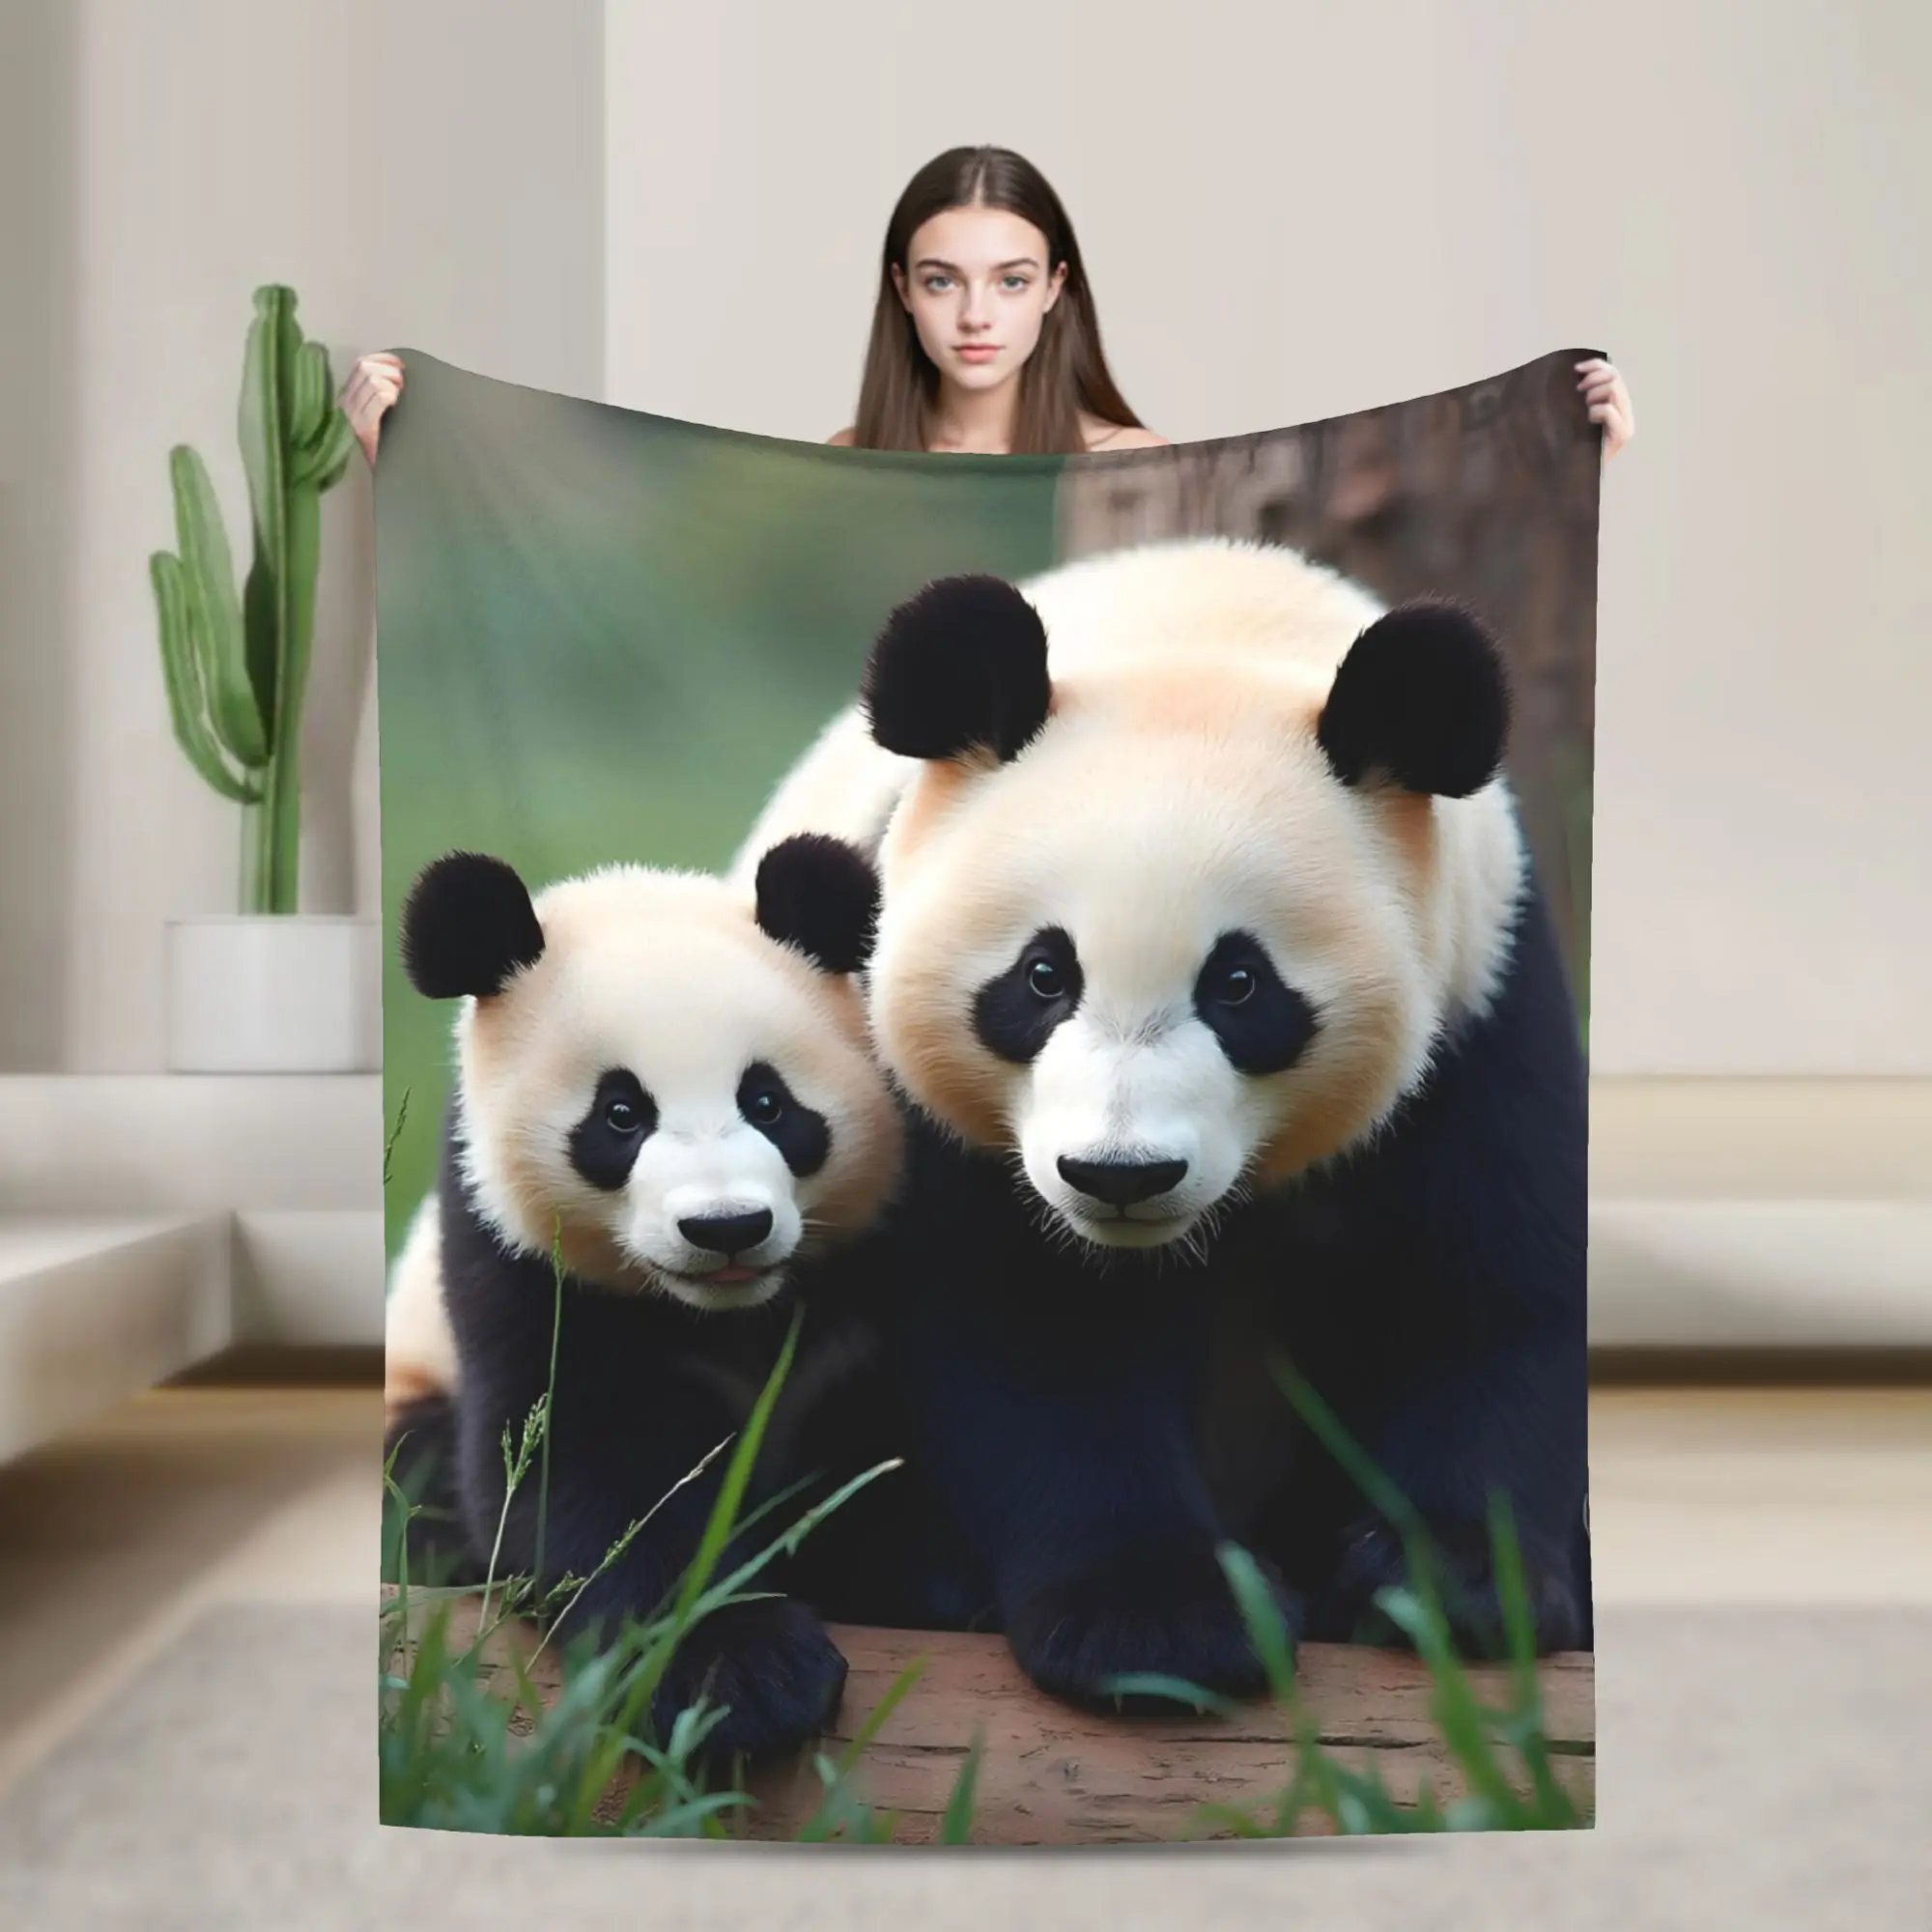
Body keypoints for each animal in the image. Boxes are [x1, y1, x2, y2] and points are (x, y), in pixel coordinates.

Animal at [385, 831, 933, 1762]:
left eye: (768, 1102)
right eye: (619, 1115)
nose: (726, 1227)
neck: (730, 1315)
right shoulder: (515, 1268)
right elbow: (584, 1479)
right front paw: (741, 1679)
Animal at [730, 536, 1591, 1706]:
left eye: (1239, 984)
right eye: (1043, 975)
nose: (1120, 1174)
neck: (1204, 625)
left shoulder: (1482, 1002)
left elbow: (1491, 1287)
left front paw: (1450, 1582)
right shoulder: (927, 1091)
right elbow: (1042, 1331)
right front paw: (1159, 1624)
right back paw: (923, 1573)